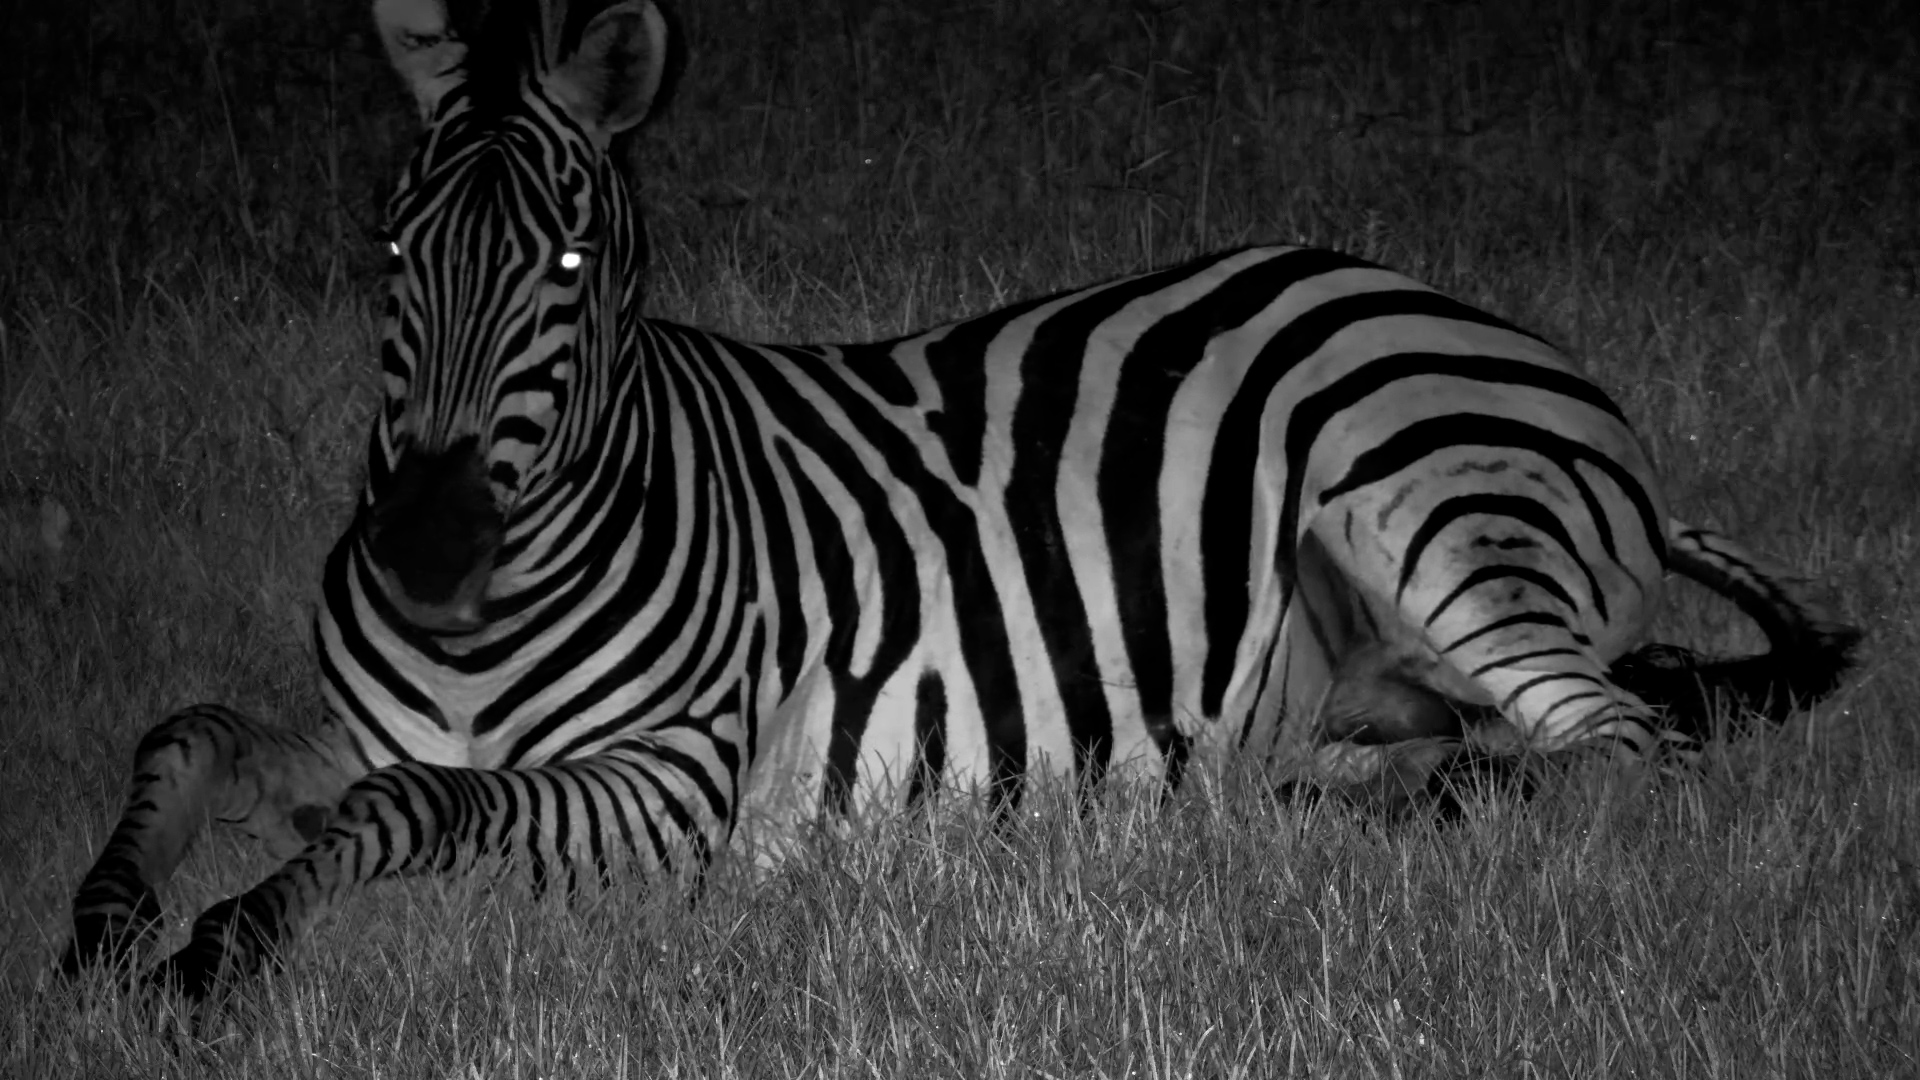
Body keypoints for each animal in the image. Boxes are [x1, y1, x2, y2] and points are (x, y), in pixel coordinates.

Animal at [60, 0, 1857, 1000]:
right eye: (387, 251)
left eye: (568, 266)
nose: (426, 553)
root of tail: (1483, 321)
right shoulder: (376, 721)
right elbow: (197, 733)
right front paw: (103, 920)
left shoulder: (673, 783)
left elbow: (398, 810)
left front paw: (220, 948)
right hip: (1364, 664)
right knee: (1477, 745)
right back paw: (1306, 804)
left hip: (1432, 505)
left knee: (1626, 752)